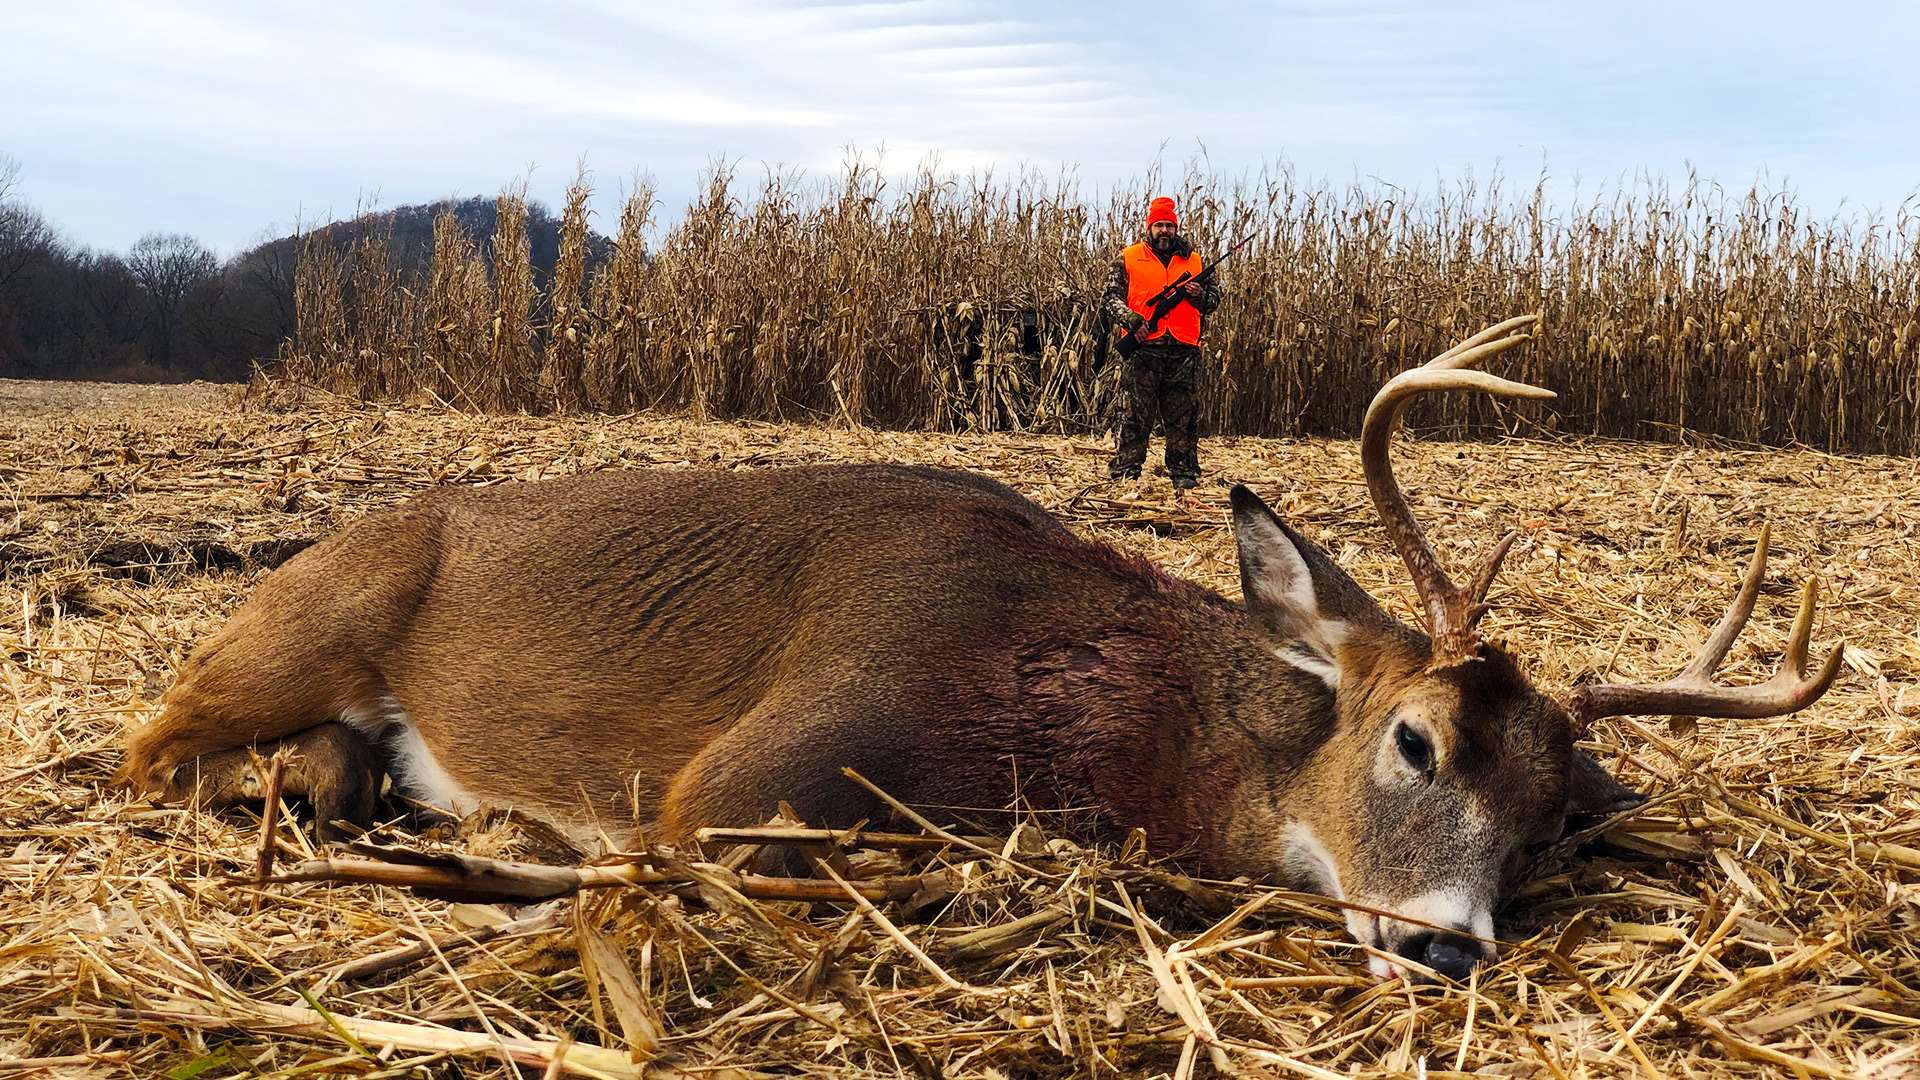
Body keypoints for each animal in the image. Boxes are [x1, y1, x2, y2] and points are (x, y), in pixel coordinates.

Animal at [112, 311, 1835, 976]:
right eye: (1414, 738)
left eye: (1547, 825)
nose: (1444, 943)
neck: (1082, 716)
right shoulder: (751, 774)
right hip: (305, 620)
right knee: (148, 748)